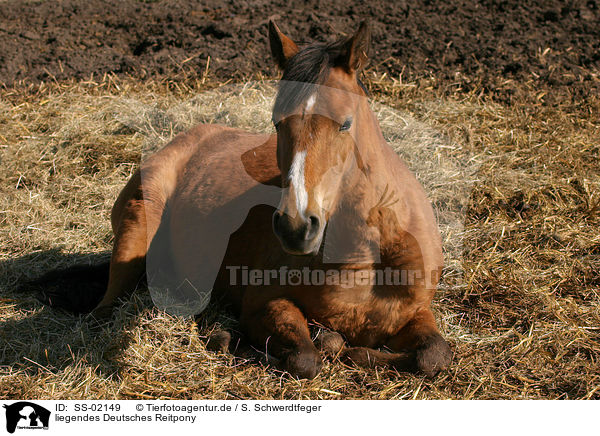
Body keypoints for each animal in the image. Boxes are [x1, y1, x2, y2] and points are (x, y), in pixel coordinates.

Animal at [92, 22, 450, 378]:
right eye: (277, 122)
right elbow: (305, 358)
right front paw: (230, 338)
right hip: (137, 227)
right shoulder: (261, 303)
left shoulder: (415, 312)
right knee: (107, 306)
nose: (296, 226)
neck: (370, 252)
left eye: (346, 123)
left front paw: (354, 351)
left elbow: (434, 355)